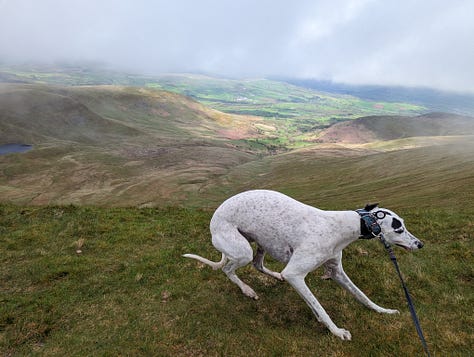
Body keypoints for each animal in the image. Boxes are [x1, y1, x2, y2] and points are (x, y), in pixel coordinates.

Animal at [183, 189, 424, 340]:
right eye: (399, 228)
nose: (420, 244)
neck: (342, 226)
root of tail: (215, 216)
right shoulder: (295, 274)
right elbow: (320, 306)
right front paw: (337, 332)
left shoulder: (335, 272)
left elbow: (362, 296)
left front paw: (383, 311)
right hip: (242, 251)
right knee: (228, 268)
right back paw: (247, 290)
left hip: (262, 243)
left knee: (258, 265)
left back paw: (274, 276)